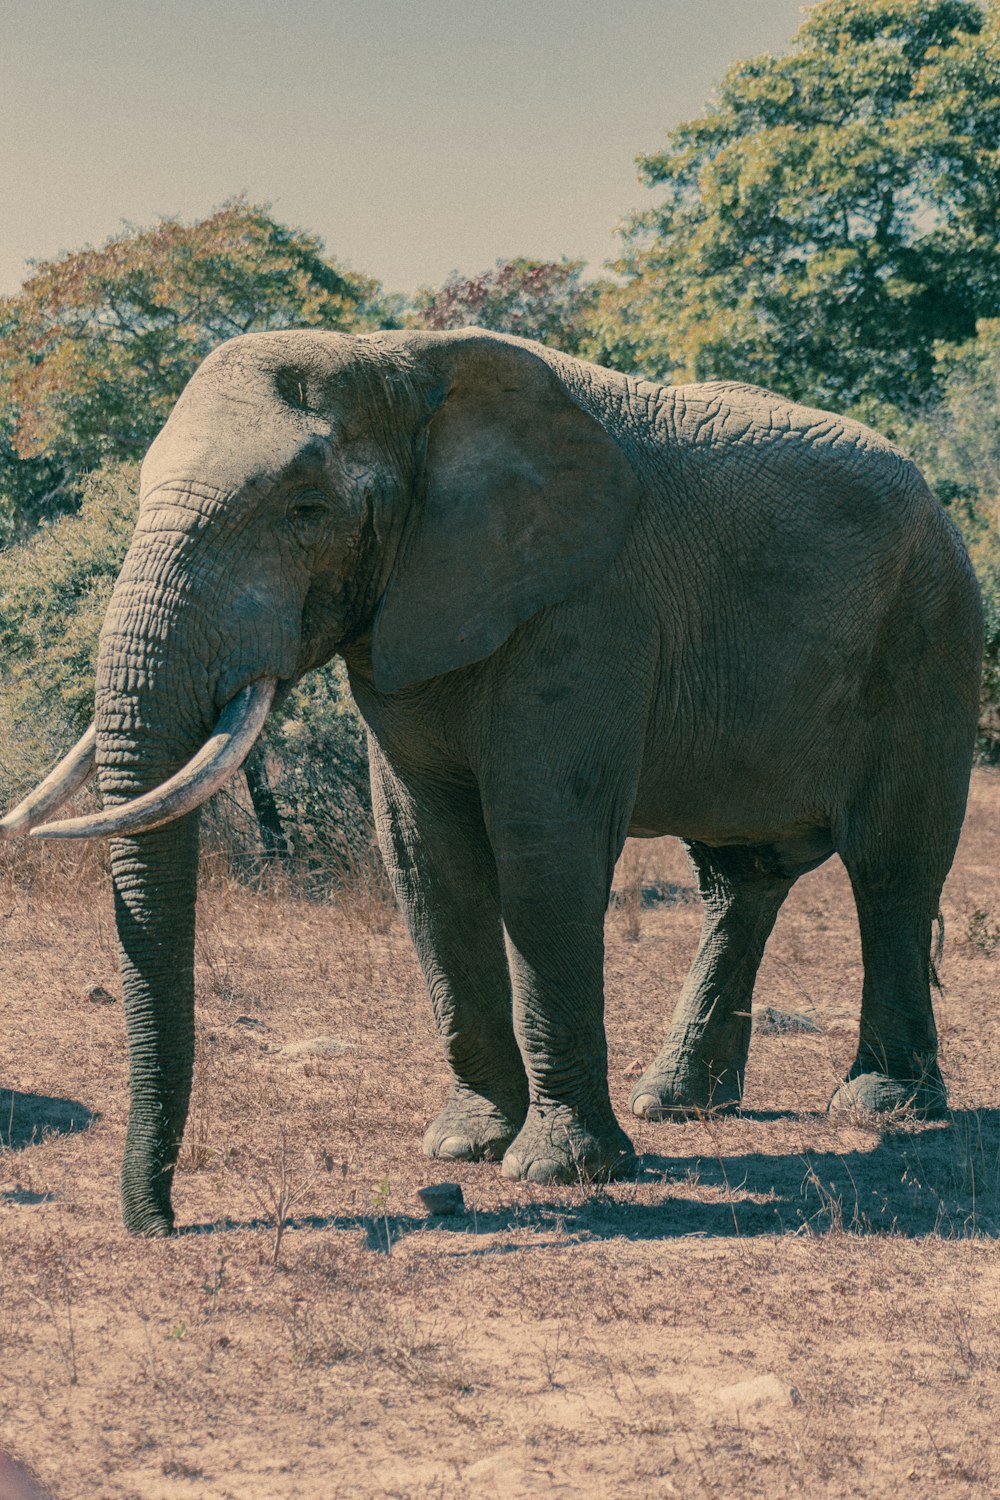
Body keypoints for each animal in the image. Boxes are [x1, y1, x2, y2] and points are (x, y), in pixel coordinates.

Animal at [0, 334, 983, 1236]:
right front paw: (463, 1147)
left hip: (932, 634)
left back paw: (883, 1106)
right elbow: (424, 858)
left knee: (891, 869)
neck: (398, 363)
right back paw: (677, 1102)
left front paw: (558, 1170)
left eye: (306, 509)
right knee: (740, 880)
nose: (161, 1224)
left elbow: (543, 847)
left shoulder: (585, 607)